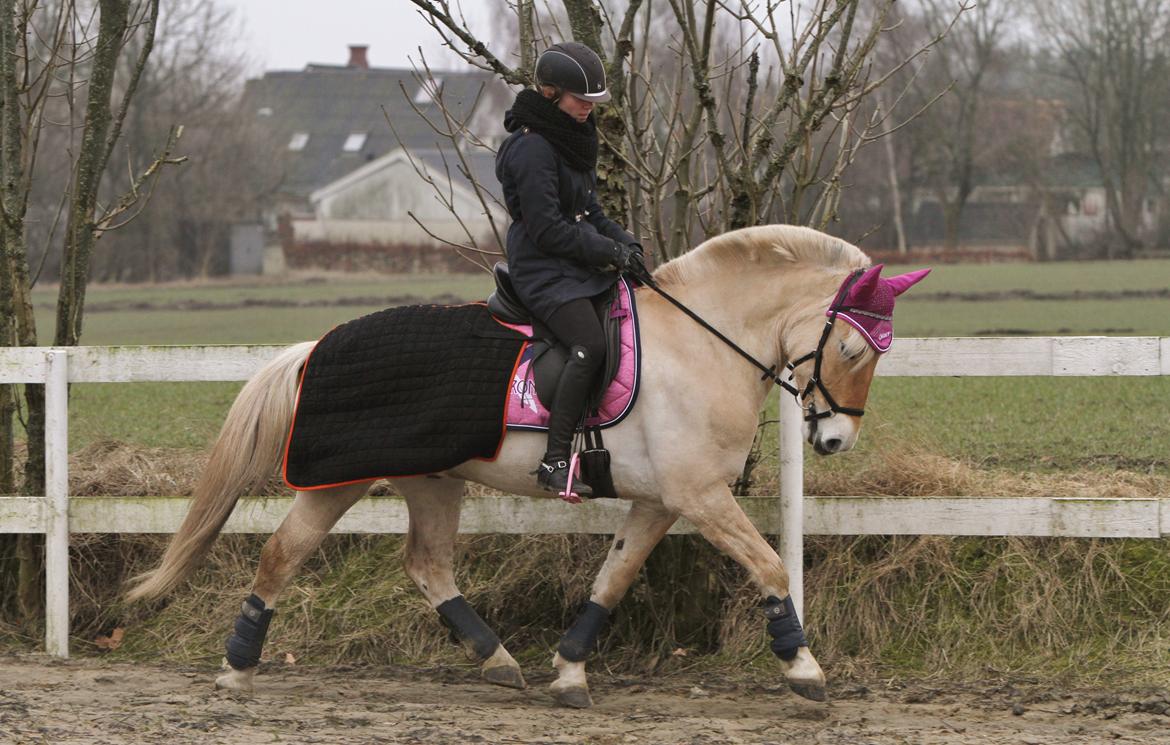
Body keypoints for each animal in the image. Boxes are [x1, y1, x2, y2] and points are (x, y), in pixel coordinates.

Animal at [128, 223, 926, 706]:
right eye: (850, 349)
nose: (835, 441)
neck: (703, 341)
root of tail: (316, 346)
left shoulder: (662, 500)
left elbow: (614, 577)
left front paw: (569, 667)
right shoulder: (699, 495)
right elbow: (770, 566)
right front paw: (803, 666)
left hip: (433, 481)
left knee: (427, 564)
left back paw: (497, 658)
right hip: (340, 481)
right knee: (282, 553)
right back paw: (236, 665)